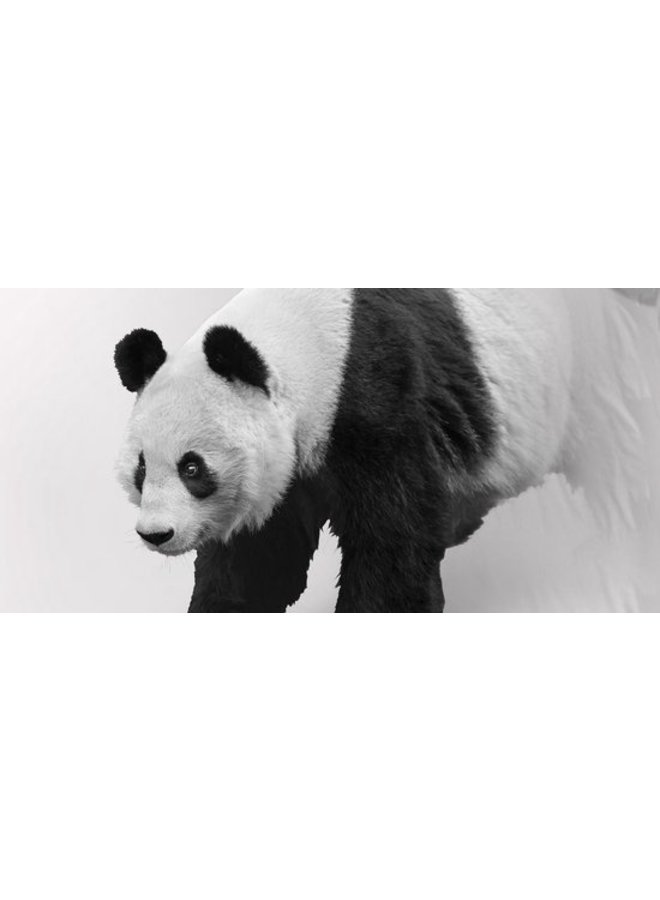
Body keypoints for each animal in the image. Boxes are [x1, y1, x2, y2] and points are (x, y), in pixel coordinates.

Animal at [114, 288, 647, 613]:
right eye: (141, 469)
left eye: (192, 467)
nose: (156, 534)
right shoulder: (285, 472)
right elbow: (259, 561)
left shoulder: (380, 397)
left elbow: (393, 538)